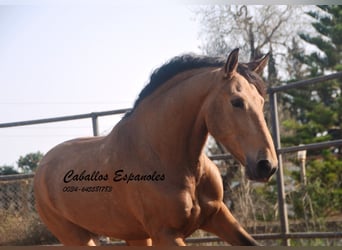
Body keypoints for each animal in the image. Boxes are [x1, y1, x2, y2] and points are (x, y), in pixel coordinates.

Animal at [33, 48, 278, 246]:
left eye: (261, 101)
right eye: (236, 101)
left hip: (135, 236)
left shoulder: (218, 215)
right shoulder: (166, 234)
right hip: (77, 237)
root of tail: (43, 166)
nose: (267, 165)